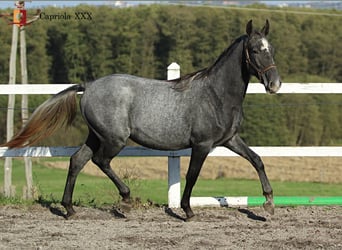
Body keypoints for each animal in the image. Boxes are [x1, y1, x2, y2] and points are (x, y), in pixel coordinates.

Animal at [2, 19, 280, 220]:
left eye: (271, 49)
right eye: (255, 50)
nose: (274, 84)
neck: (216, 94)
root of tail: (89, 86)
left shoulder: (230, 139)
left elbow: (257, 160)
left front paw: (268, 203)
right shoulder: (202, 144)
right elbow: (192, 175)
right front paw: (188, 211)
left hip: (96, 136)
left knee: (77, 161)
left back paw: (69, 210)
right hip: (114, 139)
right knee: (100, 161)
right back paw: (125, 200)